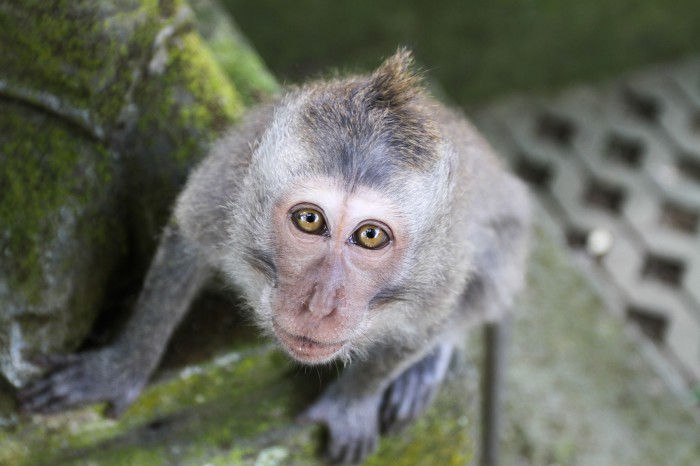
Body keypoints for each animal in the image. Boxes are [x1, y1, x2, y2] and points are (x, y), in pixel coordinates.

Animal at [18, 49, 530, 465]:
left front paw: (353, 402)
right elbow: (186, 242)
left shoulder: (441, 265)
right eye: (309, 220)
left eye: (369, 236)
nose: (320, 305)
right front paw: (121, 366)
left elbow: (423, 328)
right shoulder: (228, 184)